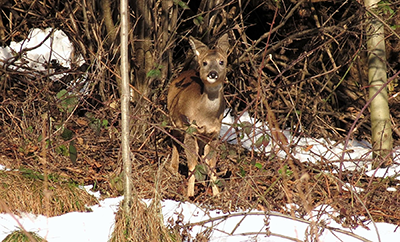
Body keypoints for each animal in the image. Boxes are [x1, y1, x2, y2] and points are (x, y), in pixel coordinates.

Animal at [166, 33, 228, 197]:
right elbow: (192, 163)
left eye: (221, 61)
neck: (206, 116)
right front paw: (189, 194)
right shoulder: (190, 129)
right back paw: (173, 169)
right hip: (175, 120)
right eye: (205, 62)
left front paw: (216, 194)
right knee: (174, 138)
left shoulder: (214, 135)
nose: (213, 73)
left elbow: (211, 163)